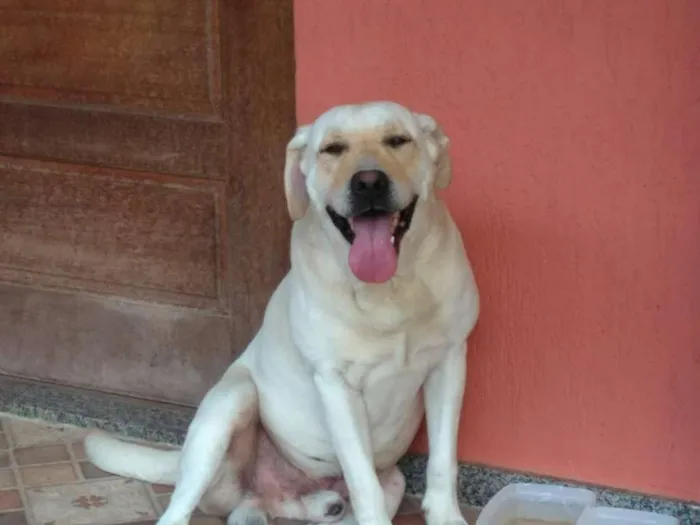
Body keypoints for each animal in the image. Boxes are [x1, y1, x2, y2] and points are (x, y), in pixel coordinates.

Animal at [80, 101, 476, 524]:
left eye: (398, 140)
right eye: (332, 149)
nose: (369, 182)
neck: (390, 290)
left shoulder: (450, 363)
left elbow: (442, 461)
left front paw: (446, 515)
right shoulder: (335, 384)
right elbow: (362, 481)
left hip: (383, 481)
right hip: (230, 404)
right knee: (180, 506)